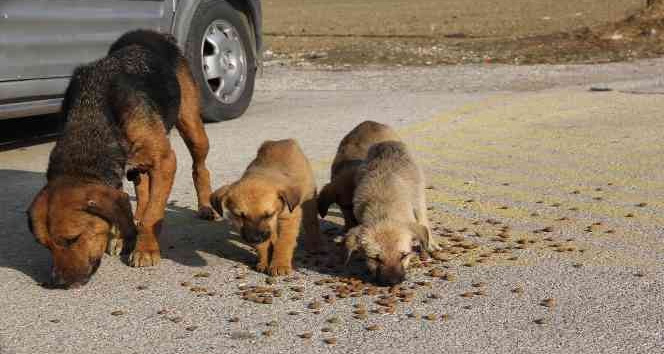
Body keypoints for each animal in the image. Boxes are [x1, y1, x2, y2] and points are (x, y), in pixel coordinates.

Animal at [25, 29, 213, 288]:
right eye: (45, 246)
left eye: (73, 239)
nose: (58, 283)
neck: (91, 116)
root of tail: (153, 33)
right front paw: (124, 237)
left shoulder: (165, 162)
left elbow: (153, 213)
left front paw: (145, 248)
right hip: (138, 164)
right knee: (142, 189)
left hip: (192, 126)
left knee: (200, 167)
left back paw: (205, 206)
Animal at [209, 139, 320, 276]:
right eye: (240, 216)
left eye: (269, 215)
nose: (254, 239)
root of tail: (283, 141)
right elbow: (264, 245)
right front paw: (264, 262)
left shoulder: (289, 217)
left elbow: (284, 242)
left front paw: (279, 264)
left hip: (309, 198)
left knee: (312, 223)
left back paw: (315, 245)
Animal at [342, 140, 440, 284]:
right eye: (375, 258)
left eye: (404, 255)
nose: (392, 282)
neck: (384, 209)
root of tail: (388, 142)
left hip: (418, 195)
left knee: (423, 220)